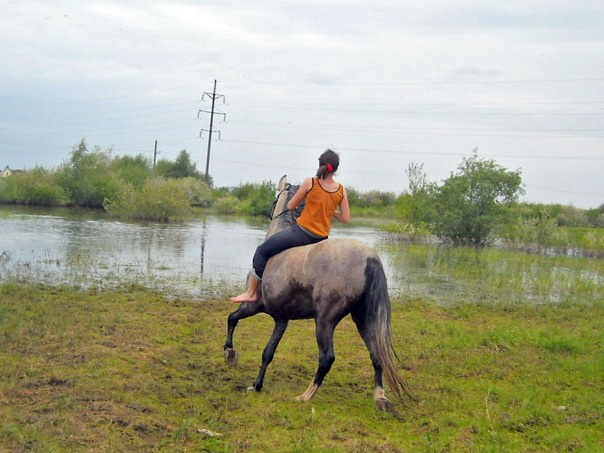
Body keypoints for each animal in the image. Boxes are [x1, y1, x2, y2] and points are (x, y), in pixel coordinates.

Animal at [223, 176, 415, 410]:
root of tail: (369, 258)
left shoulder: (254, 305)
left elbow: (232, 318)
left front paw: (230, 354)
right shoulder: (281, 319)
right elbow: (267, 352)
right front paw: (256, 385)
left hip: (325, 321)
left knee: (327, 358)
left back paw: (305, 396)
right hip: (363, 319)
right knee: (376, 355)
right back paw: (379, 397)